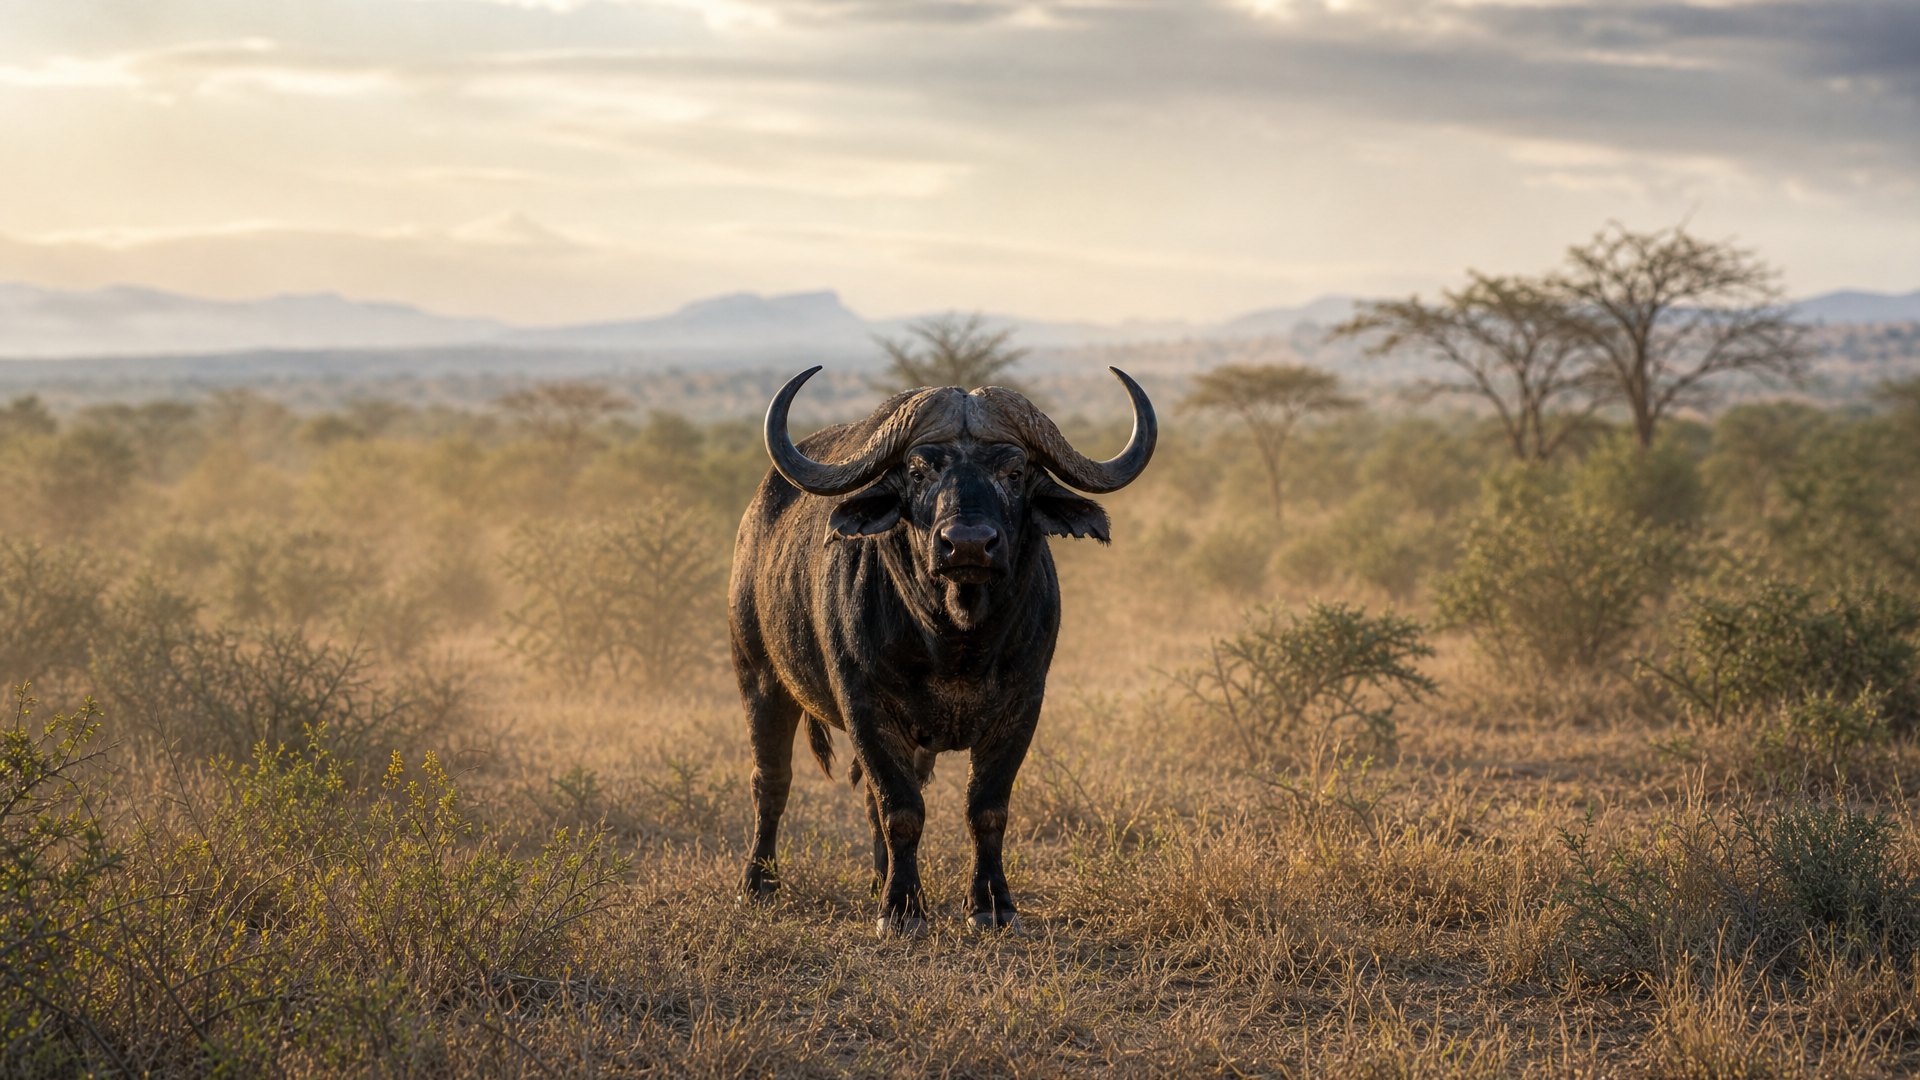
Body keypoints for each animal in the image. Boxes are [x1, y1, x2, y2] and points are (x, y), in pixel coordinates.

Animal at [730, 366, 1156, 935]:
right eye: (917, 471)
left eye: (1015, 471)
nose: (969, 544)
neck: (957, 641)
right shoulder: (865, 706)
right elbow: (901, 810)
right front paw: (904, 910)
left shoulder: (1023, 706)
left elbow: (986, 810)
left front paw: (992, 904)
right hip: (759, 677)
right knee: (772, 781)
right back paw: (759, 883)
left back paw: (877, 882)